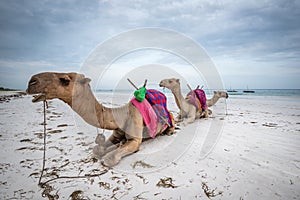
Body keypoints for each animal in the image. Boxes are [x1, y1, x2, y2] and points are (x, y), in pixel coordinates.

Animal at [27, 72, 176, 167]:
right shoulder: (115, 134)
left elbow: (109, 158)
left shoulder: (135, 139)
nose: (31, 82)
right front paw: (114, 145)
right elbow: (97, 149)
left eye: (65, 80)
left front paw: (113, 151)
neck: (122, 115)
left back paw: (169, 131)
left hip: (169, 117)